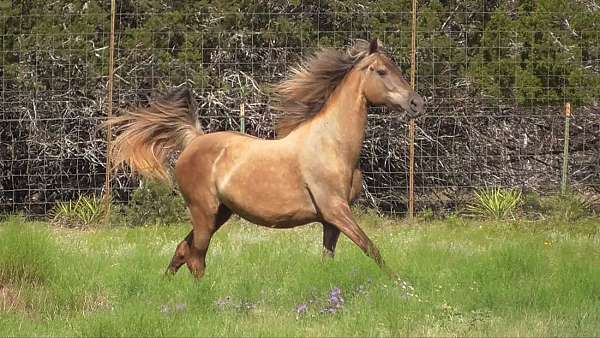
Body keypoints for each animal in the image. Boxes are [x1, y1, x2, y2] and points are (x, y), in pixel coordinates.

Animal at [109, 38, 426, 278]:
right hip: (203, 211)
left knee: (183, 250)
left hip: (220, 213)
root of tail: (195, 139)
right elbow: (373, 249)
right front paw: (402, 288)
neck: (333, 145)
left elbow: (328, 259)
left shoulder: (330, 221)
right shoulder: (336, 210)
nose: (417, 103)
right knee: (196, 257)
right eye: (382, 71)